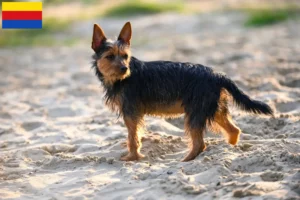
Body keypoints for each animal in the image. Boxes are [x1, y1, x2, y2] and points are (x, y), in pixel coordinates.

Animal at [90, 21, 274, 162]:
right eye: (109, 57)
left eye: (125, 56)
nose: (124, 68)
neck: (121, 79)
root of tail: (217, 74)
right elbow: (133, 136)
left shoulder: (131, 112)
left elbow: (133, 137)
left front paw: (132, 157)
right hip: (213, 108)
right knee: (234, 130)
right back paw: (229, 150)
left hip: (195, 111)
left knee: (200, 143)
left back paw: (187, 159)